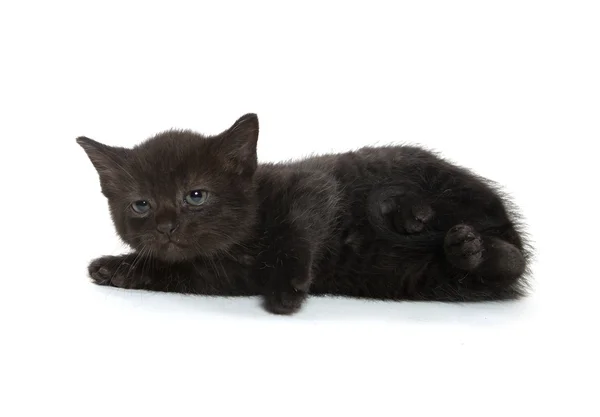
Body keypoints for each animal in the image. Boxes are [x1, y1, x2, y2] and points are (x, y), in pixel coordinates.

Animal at [77, 112, 532, 314]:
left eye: (196, 195)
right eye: (141, 204)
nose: (167, 227)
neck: (242, 240)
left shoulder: (311, 185)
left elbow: (300, 226)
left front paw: (288, 289)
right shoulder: (221, 275)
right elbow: (171, 271)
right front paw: (115, 267)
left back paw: (416, 216)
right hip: (433, 278)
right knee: (507, 263)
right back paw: (468, 249)